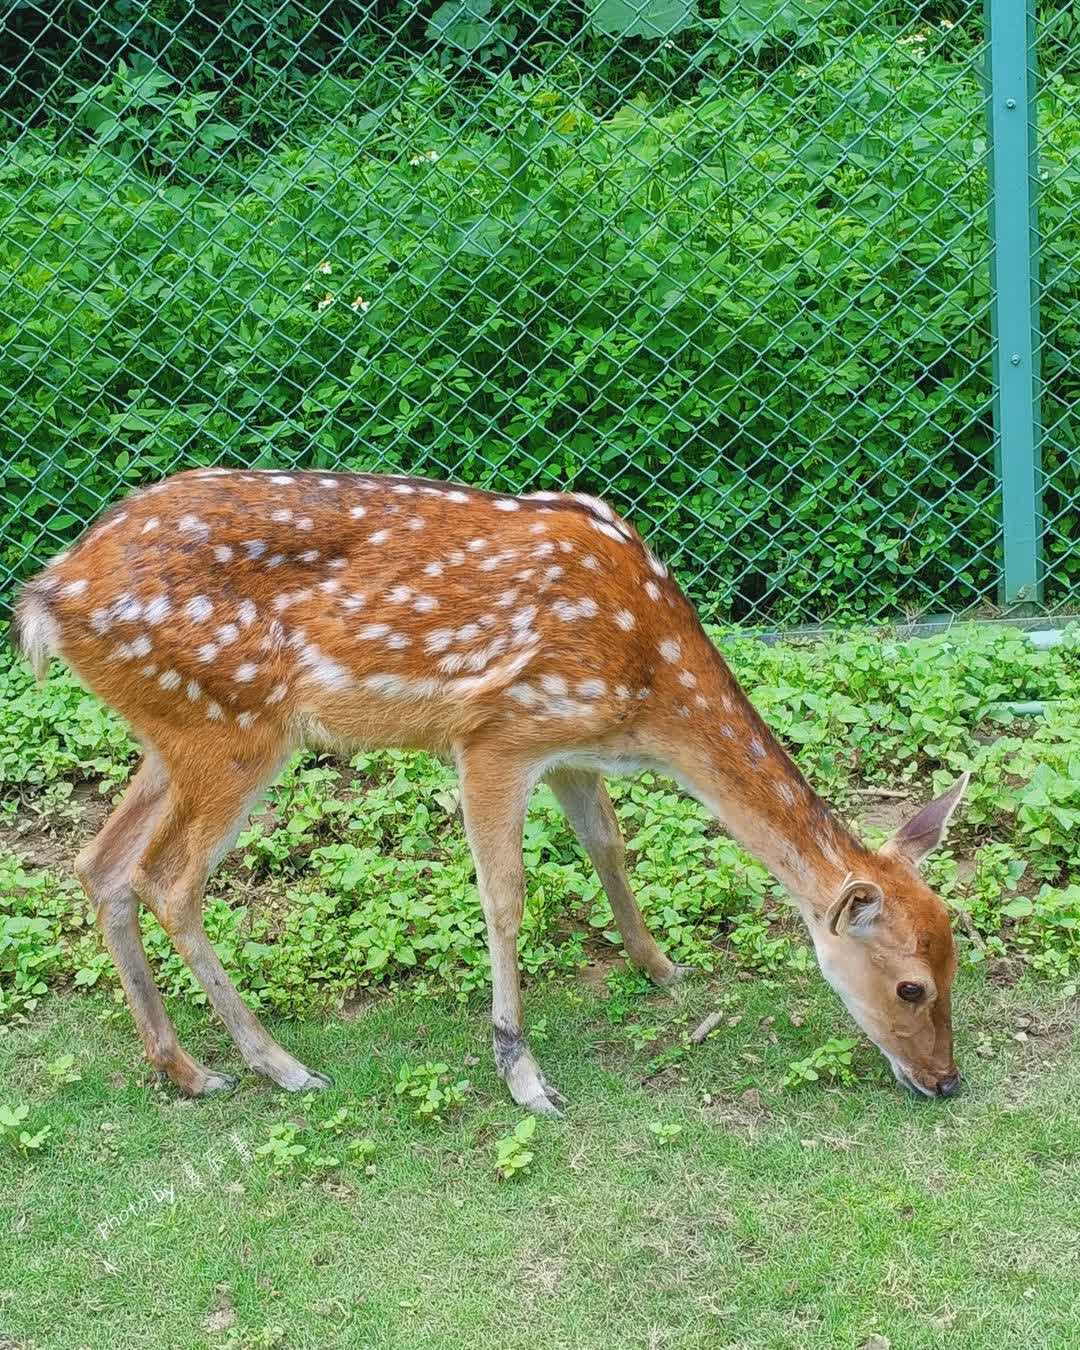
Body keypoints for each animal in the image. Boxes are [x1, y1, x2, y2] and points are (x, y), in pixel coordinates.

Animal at [11, 468, 968, 1113]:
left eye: (958, 956)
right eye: (912, 987)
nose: (947, 1081)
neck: (647, 688)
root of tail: (46, 597)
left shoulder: (573, 746)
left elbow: (608, 846)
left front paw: (661, 967)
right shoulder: (497, 734)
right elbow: (504, 894)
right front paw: (521, 1070)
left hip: (172, 732)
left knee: (101, 864)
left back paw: (182, 1066)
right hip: (233, 726)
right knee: (168, 879)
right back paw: (278, 1065)